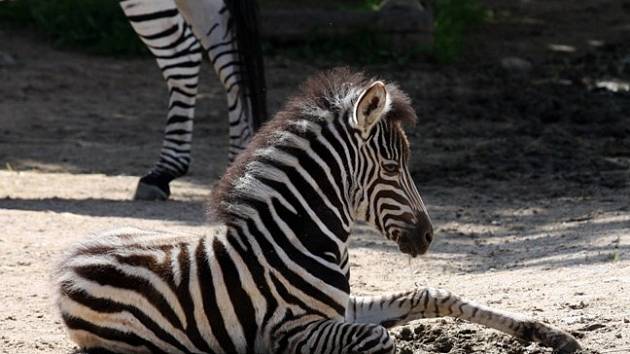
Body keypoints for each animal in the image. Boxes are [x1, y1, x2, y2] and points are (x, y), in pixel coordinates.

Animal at [55, 69, 584, 354]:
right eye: (391, 168)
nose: (429, 236)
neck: (296, 240)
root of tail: (68, 260)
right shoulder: (290, 331)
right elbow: (382, 340)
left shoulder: (343, 307)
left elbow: (431, 292)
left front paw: (547, 333)